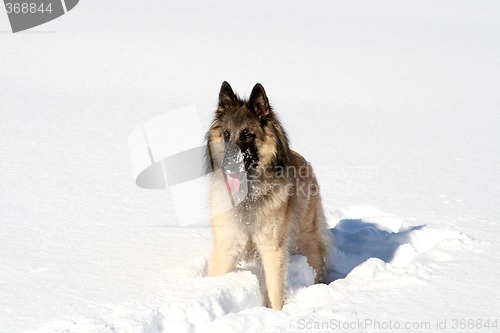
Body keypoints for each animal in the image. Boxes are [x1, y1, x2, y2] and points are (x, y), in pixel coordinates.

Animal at [205, 81, 330, 310]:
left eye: (246, 134)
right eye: (226, 134)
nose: (227, 164)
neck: (248, 195)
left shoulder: (273, 249)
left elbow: (275, 289)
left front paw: (277, 313)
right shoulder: (227, 245)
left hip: (306, 238)